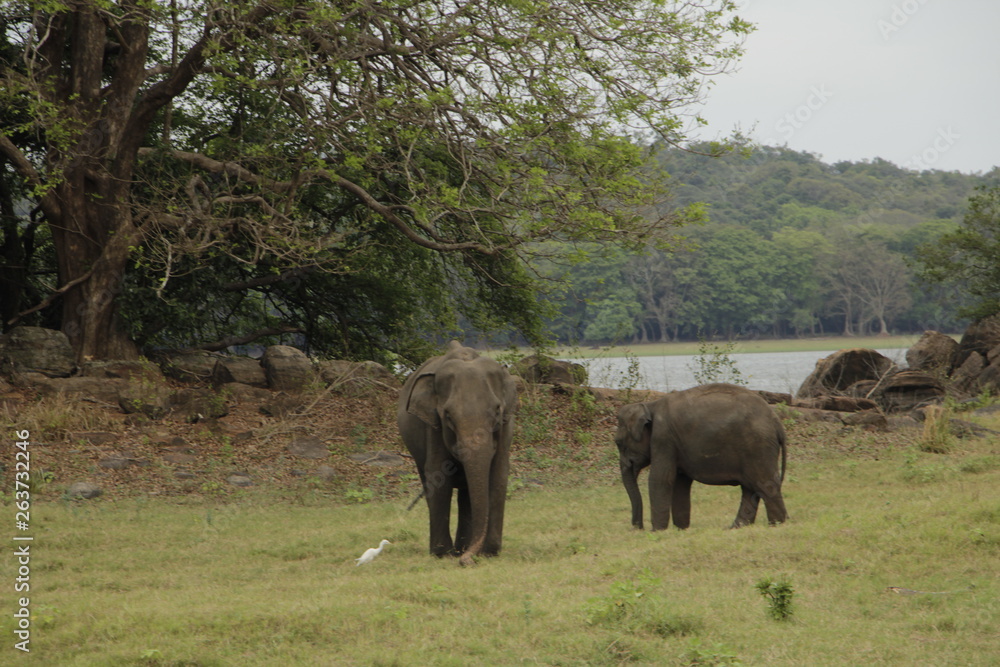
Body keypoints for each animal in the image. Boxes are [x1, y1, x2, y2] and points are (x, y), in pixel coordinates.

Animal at [394, 342, 516, 568]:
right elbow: (438, 475)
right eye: (448, 416)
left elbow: (499, 473)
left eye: (497, 411)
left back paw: (463, 547)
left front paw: (490, 552)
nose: (467, 561)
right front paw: (442, 554)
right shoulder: (432, 424)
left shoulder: (506, 425)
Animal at [612, 380, 784, 532]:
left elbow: (661, 478)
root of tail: (777, 421)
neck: (650, 405)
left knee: (764, 485)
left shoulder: (663, 438)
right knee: (750, 489)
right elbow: (680, 482)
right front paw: (681, 529)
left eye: (618, 443)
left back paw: (778, 524)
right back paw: (735, 528)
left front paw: (657, 531)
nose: (638, 528)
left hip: (758, 445)